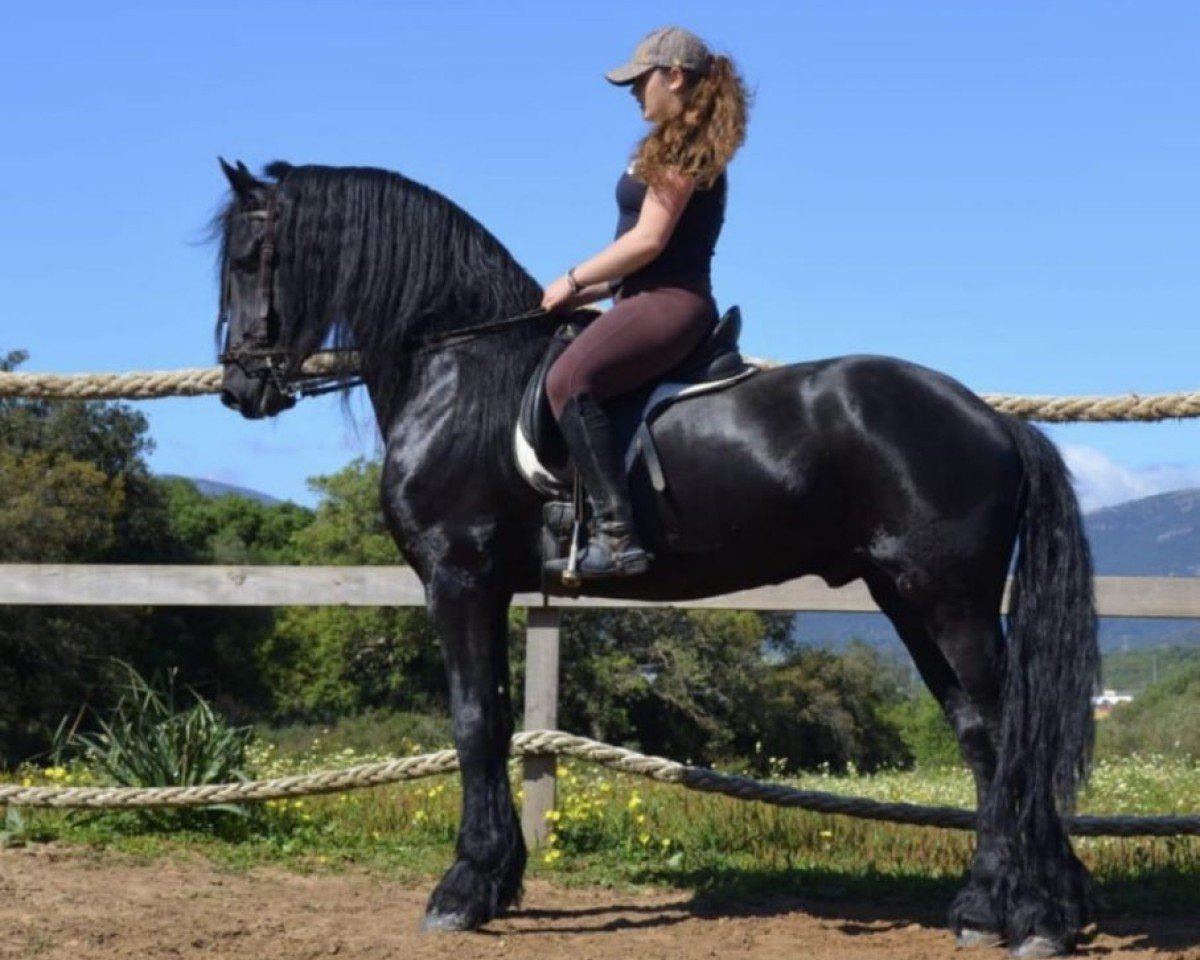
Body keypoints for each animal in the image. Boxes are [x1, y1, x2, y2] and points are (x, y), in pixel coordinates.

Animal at [214, 158, 1099, 957]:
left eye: (250, 257)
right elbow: (492, 721)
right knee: (982, 734)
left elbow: (473, 724)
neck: (462, 373)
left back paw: (1040, 918)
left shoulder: (457, 579)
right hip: (908, 596)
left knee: (1008, 728)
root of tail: (992, 418)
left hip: (949, 600)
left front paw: (462, 891)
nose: (238, 389)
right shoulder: (489, 588)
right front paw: (496, 882)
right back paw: (995, 909)